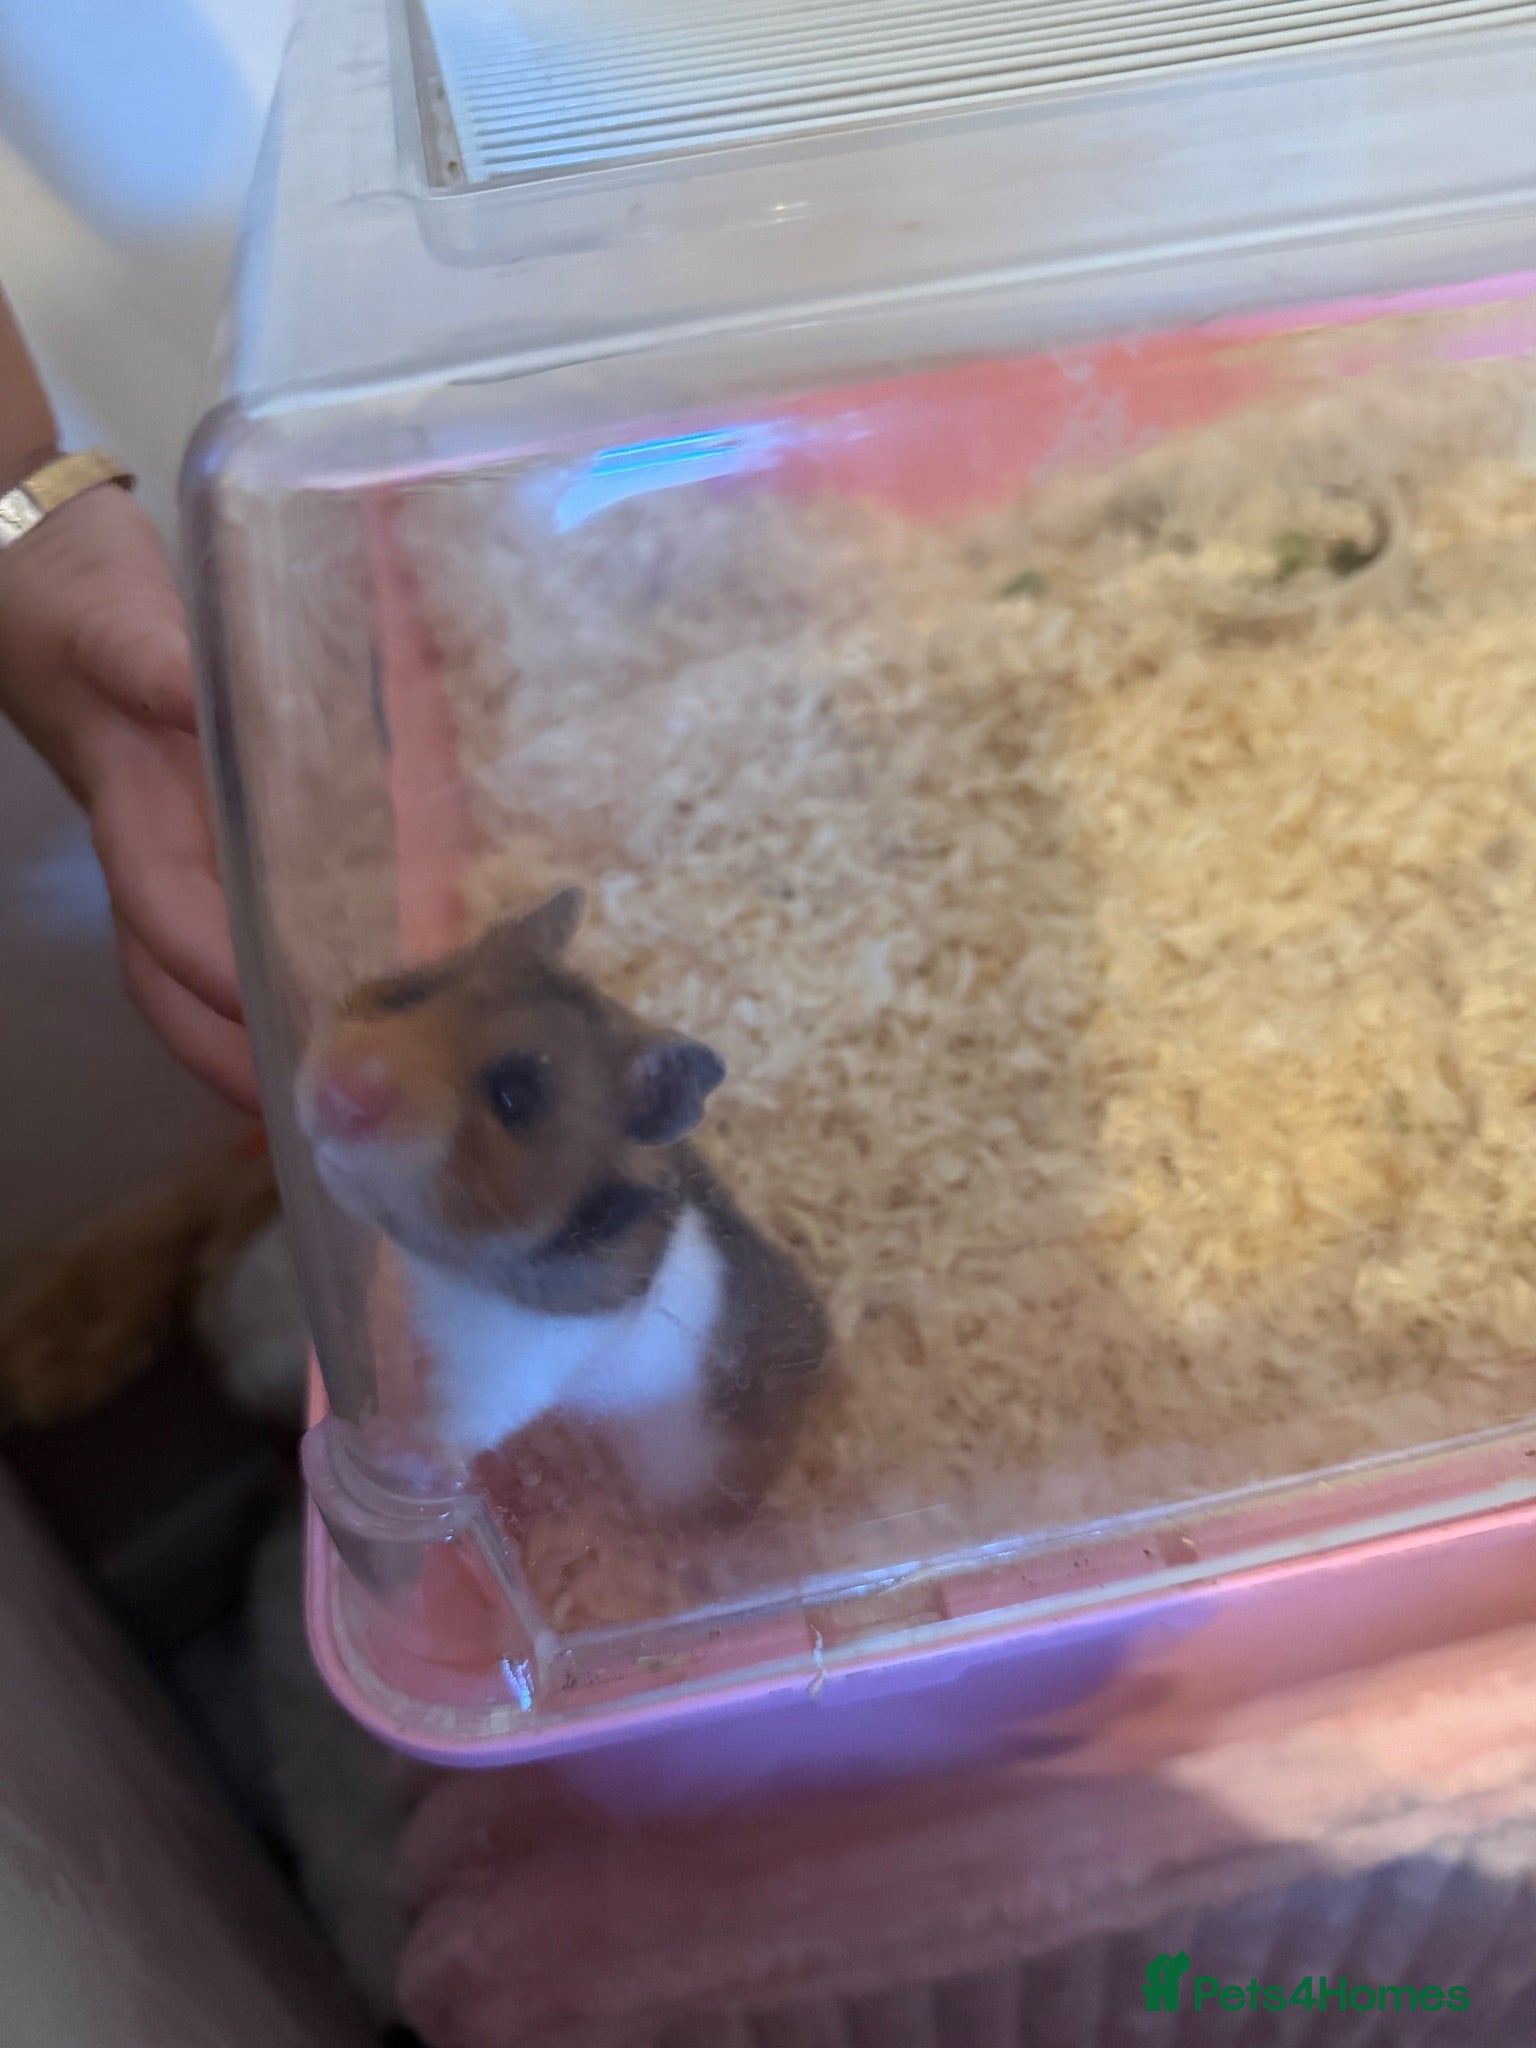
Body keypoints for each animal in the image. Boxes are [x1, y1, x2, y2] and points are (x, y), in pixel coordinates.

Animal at [295, 888, 827, 1518]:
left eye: (516, 1095)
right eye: (409, 993)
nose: (337, 1091)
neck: (457, 1263)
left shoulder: (521, 1358)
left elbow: (462, 1420)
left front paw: (392, 1448)